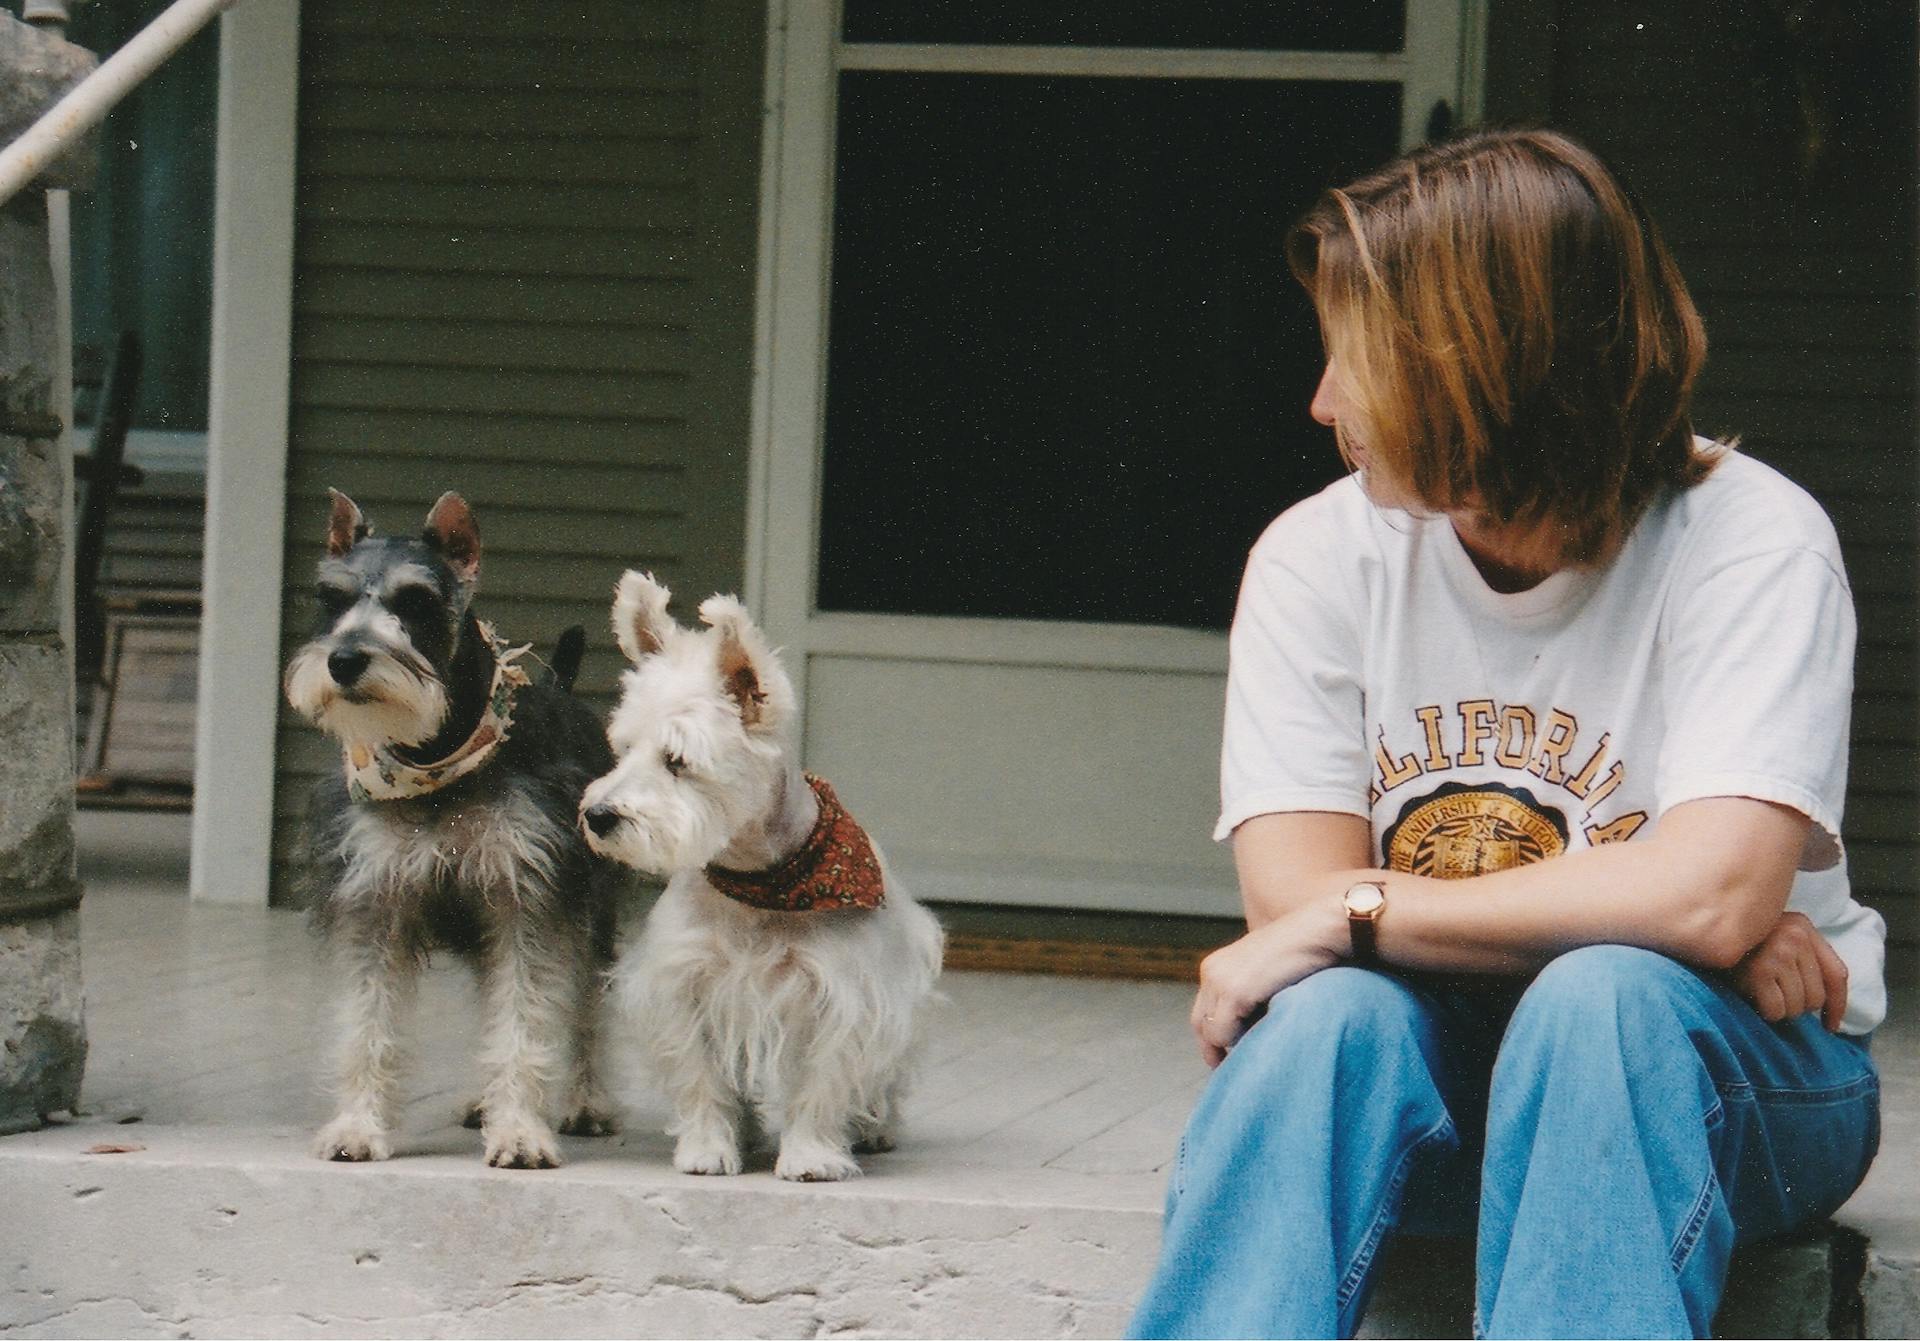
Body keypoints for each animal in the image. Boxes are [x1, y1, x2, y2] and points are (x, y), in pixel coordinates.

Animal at [284, 486, 618, 1168]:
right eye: (331, 598)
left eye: (415, 601)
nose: (345, 660)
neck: (436, 758)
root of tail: (560, 684)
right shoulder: (377, 901)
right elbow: (369, 1023)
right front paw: (357, 1126)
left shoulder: (527, 901)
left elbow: (526, 1019)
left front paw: (520, 1133)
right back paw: (482, 1100)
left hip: (589, 916)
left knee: (584, 1009)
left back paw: (584, 1102)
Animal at [583, 568, 944, 1175]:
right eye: (623, 749)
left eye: (677, 761)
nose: (598, 816)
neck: (759, 881)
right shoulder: (683, 984)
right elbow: (702, 1075)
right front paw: (708, 1148)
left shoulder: (844, 994)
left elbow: (823, 1082)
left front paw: (811, 1156)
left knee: (884, 1074)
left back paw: (874, 1127)